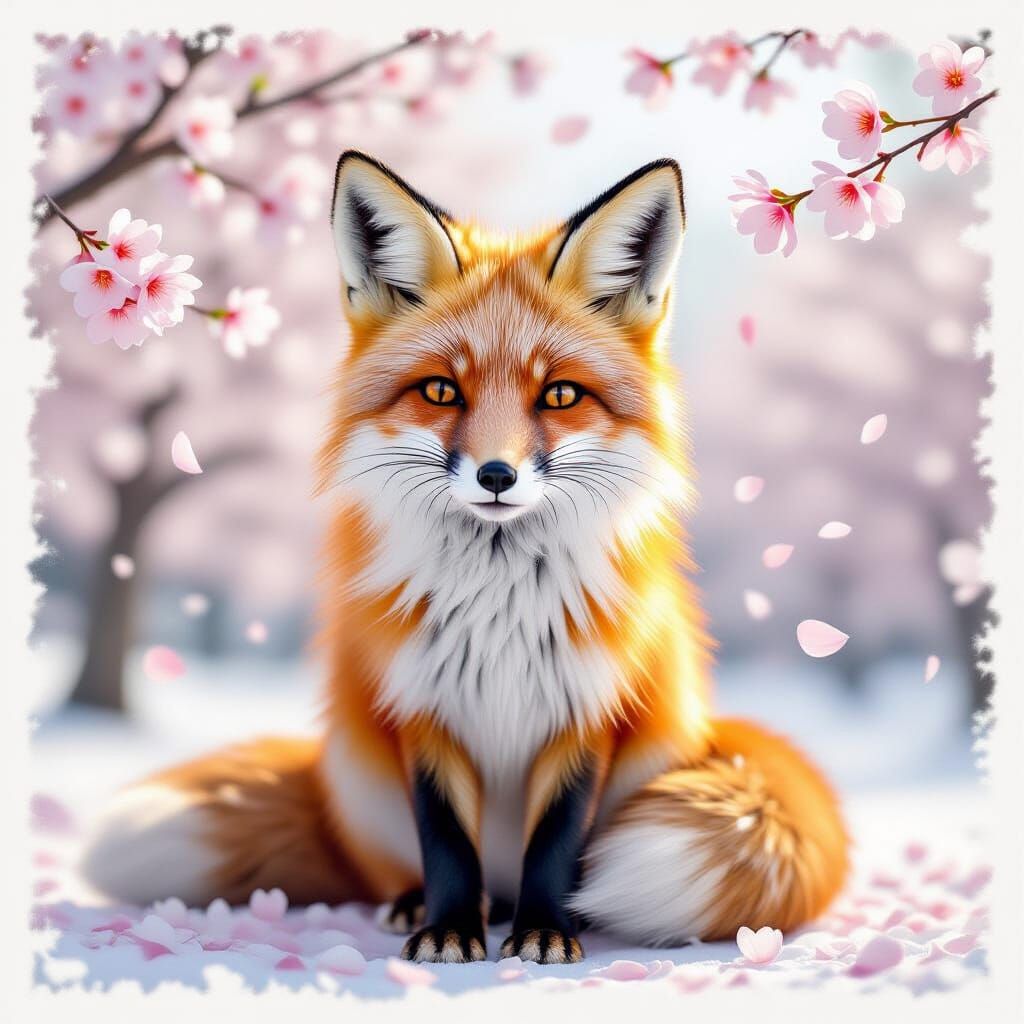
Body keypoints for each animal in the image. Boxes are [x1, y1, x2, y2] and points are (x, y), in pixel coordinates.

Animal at [79, 152, 849, 964]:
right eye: (442, 390)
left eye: (560, 395)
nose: (497, 475)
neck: (501, 610)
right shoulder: (423, 706)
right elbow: (446, 840)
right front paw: (449, 928)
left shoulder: (588, 712)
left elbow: (556, 842)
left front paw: (545, 931)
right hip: (362, 780)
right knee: (403, 869)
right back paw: (417, 905)